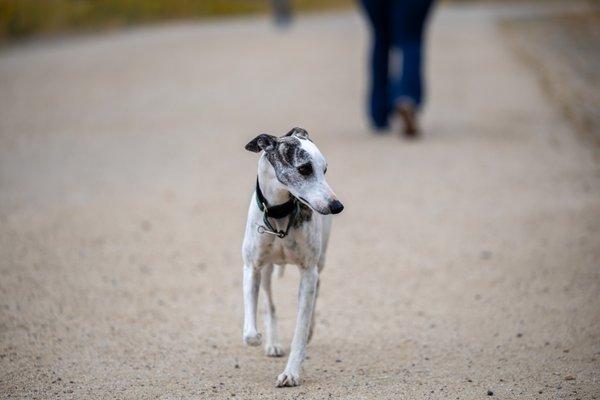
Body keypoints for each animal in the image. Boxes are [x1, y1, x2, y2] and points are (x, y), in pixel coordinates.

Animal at [239, 126, 342, 386]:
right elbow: (250, 333)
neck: (279, 215)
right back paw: (273, 343)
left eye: (325, 169)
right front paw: (258, 337)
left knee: (318, 287)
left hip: (320, 262)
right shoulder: (252, 267)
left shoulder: (308, 273)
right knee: (269, 304)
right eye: (304, 168)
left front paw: (291, 372)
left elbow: (300, 331)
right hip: (267, 270)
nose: (337, 206)